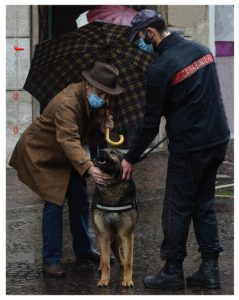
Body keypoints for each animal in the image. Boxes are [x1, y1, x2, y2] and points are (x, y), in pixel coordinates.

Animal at [92, 149, 139, 288]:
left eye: (113, 152)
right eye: (102, 149)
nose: (100, 150)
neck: (112, 184)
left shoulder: (126, 234)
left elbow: (129, 262)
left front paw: (127, 280)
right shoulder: (104, 233)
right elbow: (106, 262)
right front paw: (104, 279)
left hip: (118, 233)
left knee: (114, 247)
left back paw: (122, 263)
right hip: (103, 233)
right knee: (106, 252)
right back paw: (101, 267)